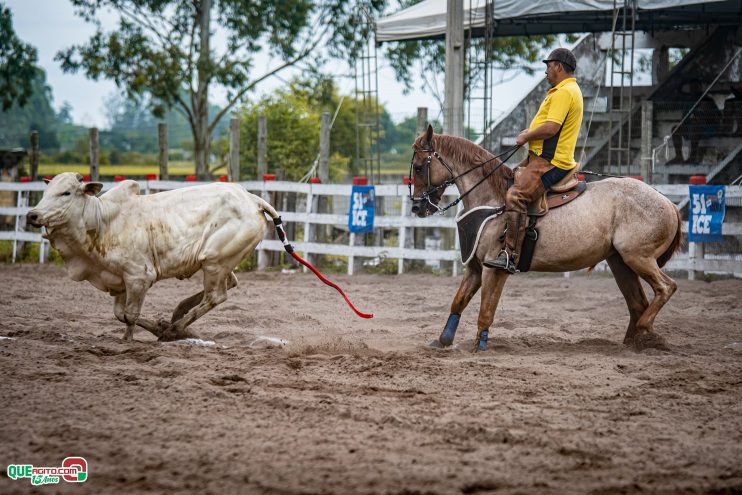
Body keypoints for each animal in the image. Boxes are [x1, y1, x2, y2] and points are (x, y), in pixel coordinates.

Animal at [28, 173, 280, 340]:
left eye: (66, 192)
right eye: (46, 192)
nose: (33, 215)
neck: (102, 222)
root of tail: (252, 199)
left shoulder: (139, 277)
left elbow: (129, 315)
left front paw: (129, 341)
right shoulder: (119, 281)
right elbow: (120, 314)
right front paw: (155, 327)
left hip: (214, 261)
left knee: (216, 296)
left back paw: (174, 329)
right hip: (220, 263)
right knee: (229, 283)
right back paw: (177, 315)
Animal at [410, 126, 684, 354]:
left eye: (419, 167)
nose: (416, 208)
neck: (493, 201)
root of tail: (668, 202)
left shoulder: (494, 270)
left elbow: (486, 311)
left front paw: (480, 345)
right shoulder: (475, 268)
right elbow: (457, 302)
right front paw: (443, 341)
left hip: (638, 257)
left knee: (666, 287)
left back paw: (645, 330)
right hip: (620, 263)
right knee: (638, 303)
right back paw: (634, 342)